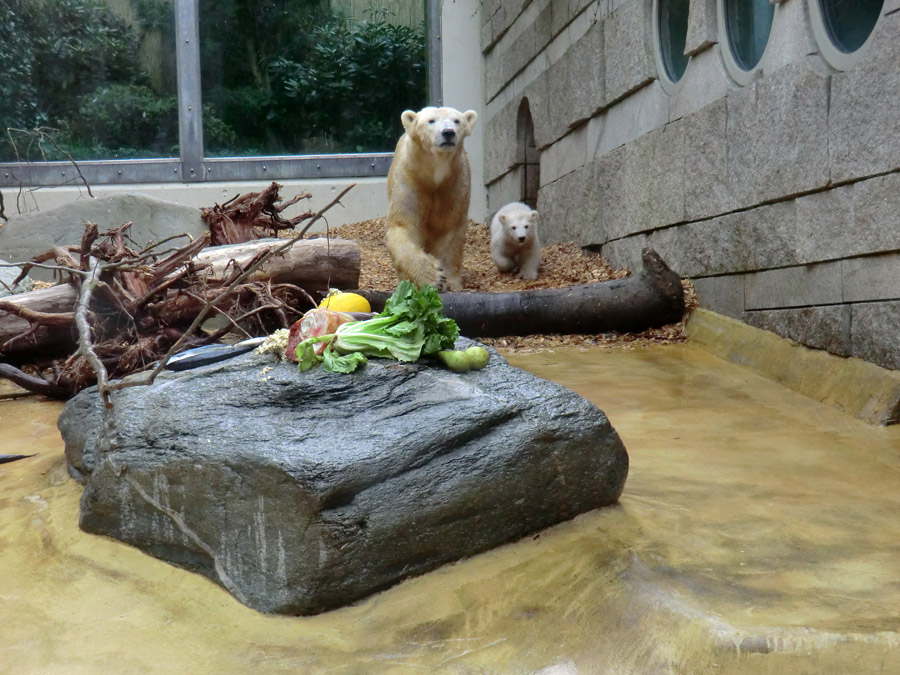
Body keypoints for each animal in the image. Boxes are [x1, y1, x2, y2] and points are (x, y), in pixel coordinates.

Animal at [384, 105, 478, 290]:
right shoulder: (409, 180)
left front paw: (450, 282)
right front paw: (433, 275)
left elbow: (450, 230)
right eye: (431, 120)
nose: (448, 132)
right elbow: (402, 227)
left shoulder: (454, 185)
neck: (432, 178)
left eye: (457, 120)